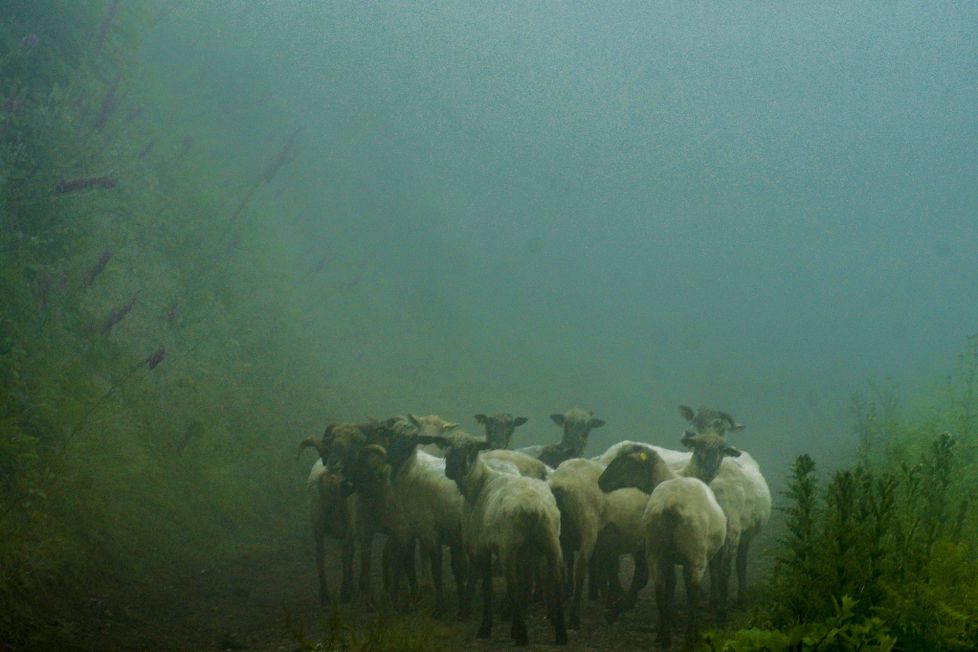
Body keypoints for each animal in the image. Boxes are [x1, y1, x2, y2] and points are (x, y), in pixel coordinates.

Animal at [435, 431, 568, 646]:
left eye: (471, 449)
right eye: (448, 447)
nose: (452, 469)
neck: (479, 483)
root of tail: (533, 507)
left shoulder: (481, 548)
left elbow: (487, 586)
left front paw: (485, 627)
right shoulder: (527, 553)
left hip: (509, 546)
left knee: (513, 583)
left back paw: (521, 634)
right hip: (551, 542)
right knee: (555, 581)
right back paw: (561, 634)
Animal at [599, 443, 732, 648]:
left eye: (627, 461)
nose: (601, 481)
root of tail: (672, 505)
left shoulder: (668, 557)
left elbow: (669, 588)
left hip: (656, 550)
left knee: (660, 589)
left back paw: (665, 636)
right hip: (695, 555)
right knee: (691, 590)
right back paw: (689, 636)